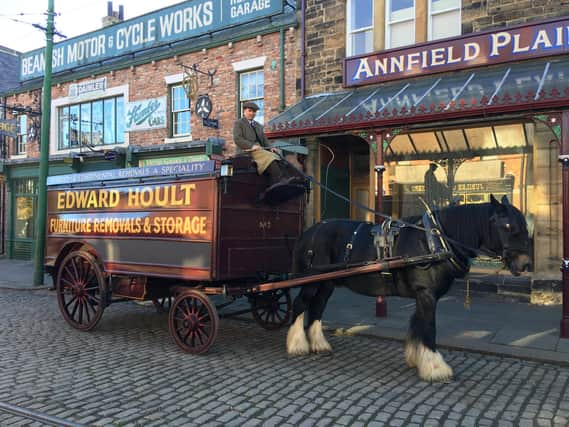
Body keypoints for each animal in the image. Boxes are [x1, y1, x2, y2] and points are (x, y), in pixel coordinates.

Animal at [288, 196, 532, 382]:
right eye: (507, 226)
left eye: (524, 226)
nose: (525, 264)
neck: (434, 242)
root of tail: (309, 232)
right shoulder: (426, 293)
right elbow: (429, 327)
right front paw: (435, 368)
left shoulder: (422, 294)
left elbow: (417, 324)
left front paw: (418, 360)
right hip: (311, 280)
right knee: (300, 304)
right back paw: (297, 344)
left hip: (327, 283)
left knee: (317, 307)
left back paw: (319, 344)